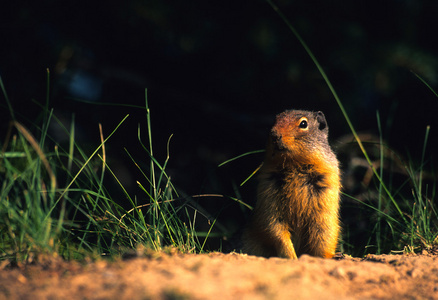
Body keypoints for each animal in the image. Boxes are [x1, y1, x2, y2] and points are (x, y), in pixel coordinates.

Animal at [241, 109, 340, 258]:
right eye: (275, 120)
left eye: (303, 124)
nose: (274, 134)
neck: (294, 164)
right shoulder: (268, 196)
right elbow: (274, 228)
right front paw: (291, 256)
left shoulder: (325, 201)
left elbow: (323, 235)